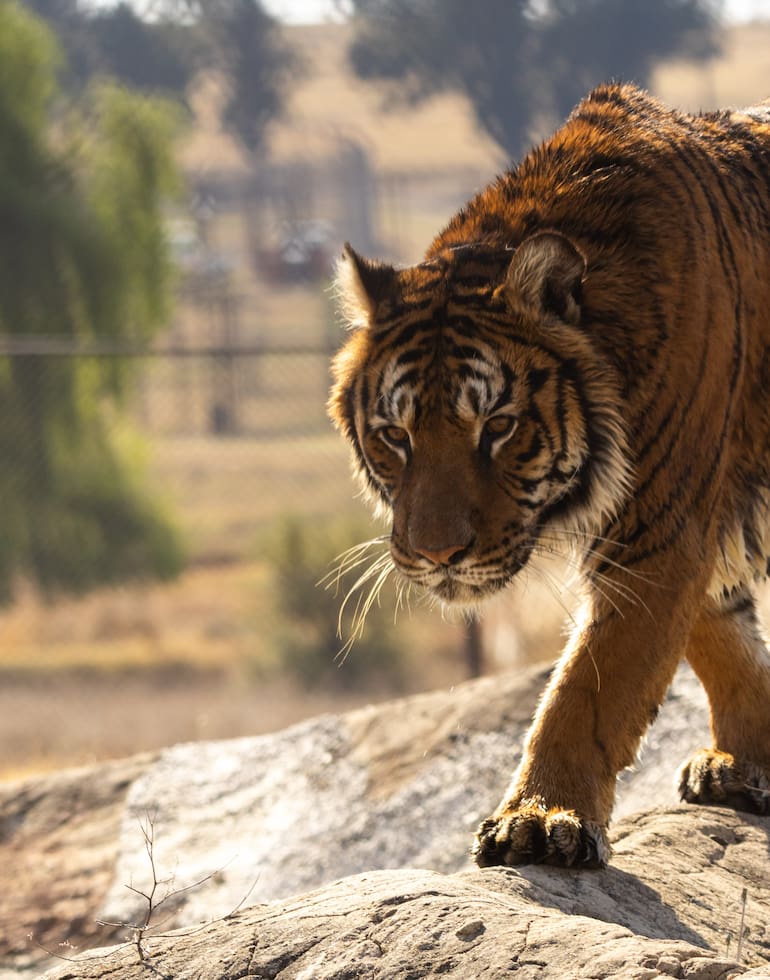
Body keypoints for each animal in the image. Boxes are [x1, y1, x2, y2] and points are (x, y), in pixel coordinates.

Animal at [328, 82, 770, 868]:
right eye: (395, 436)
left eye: (497, 427)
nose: (439, 554)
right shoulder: (691, 527)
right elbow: (722, 637)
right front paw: (746, 759)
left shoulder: (660, 530)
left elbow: (587, 691)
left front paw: (538, 819)